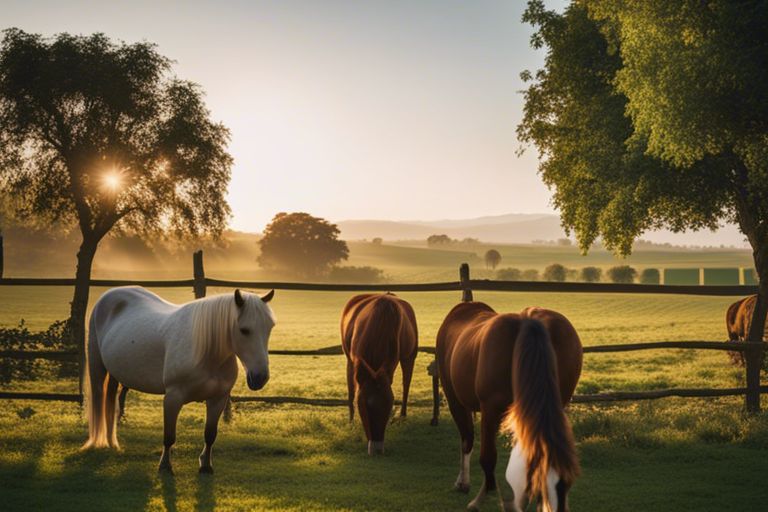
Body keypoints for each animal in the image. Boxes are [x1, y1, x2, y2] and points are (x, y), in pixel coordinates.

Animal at [82, 286, 274, 474]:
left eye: (270, 327)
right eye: (244, 330)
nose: (260, 377)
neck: (206, 352)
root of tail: (110, 293)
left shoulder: (218, 399)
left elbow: (210, 435)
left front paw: (206, 465)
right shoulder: (173, 398)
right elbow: (169, 436)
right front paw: (165, 466)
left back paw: (112, 444)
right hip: (97, 366)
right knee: (99, 398)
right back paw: (99, 443)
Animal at [340, 294, 416, 454]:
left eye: (389, 405)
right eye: (362, 405)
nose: (376, 449)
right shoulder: (354, 361)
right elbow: (352, 391)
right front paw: (351, 422)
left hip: (409, 357)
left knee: (406, 384)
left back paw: (403, 416)